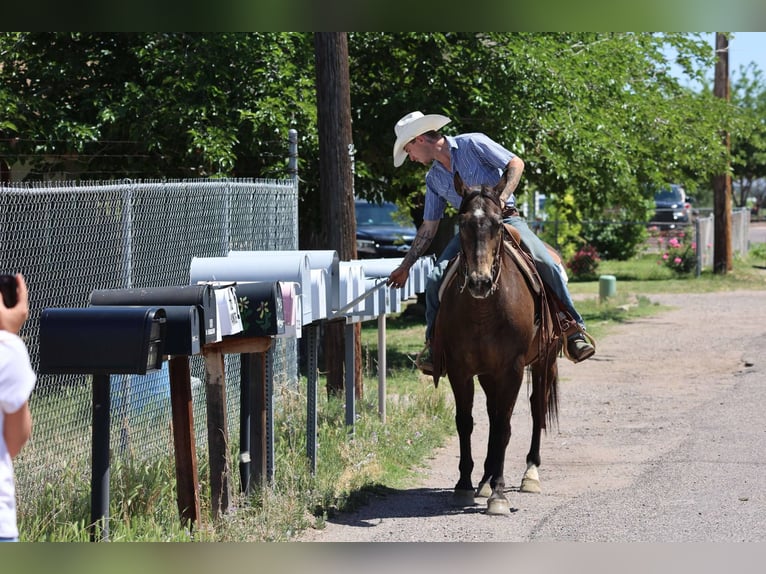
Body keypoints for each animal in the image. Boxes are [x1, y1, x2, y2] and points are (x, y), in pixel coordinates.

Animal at [430, 170, 561, 515]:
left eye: (498, 224)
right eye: (462, 223)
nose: (480, 281)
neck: (483, 311)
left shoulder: (512, 369)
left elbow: (503, 425)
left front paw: (499, 495)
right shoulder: (461, 369)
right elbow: (466, 422)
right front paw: (464, 485)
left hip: (543, 362)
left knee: (535, 409)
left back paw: (529, 473)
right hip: (489, 374)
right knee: (492, 413)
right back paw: (486, 478)